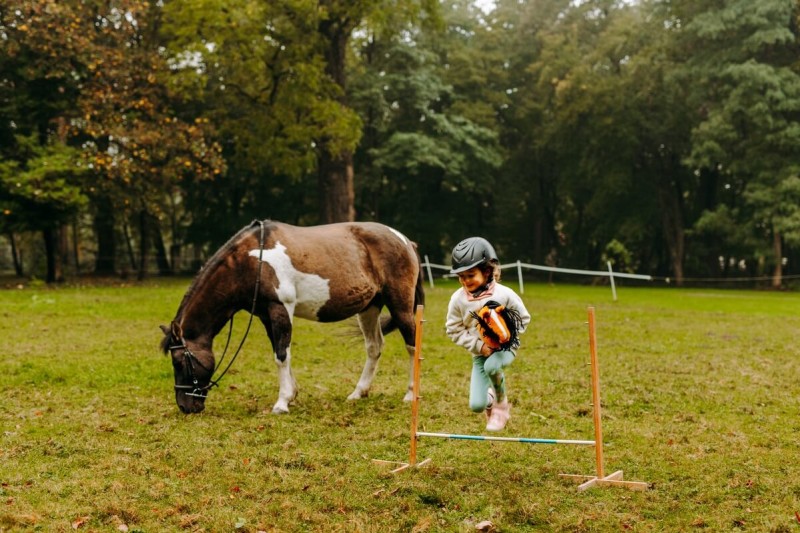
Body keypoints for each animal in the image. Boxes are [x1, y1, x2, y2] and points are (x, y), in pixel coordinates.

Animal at [160, 219, 425, 414]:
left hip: (400, 305)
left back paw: (410, 393)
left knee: (412, 344)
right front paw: (292, 394)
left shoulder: (280, 308)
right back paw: (358, 392)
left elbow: (281, 355)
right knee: (374, 347)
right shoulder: (266, 315)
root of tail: (406, 242)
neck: (252, 262)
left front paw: (282, 402)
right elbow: (281, 353)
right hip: (369, 307)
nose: (184, 406)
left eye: (178, 362)